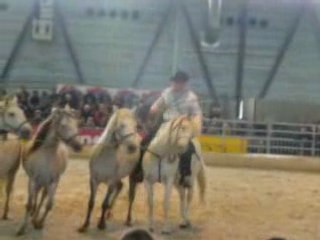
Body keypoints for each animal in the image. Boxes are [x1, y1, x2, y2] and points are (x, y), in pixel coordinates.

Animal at [16, 106, 82, 235]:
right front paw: (22, 228)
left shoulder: (53, 181)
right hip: (39, 182)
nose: (78, 146)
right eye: (63, 125)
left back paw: (35, 217)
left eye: (76, 124)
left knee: (42, 196)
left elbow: (49, 205)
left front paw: (39, 223)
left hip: (46, 183)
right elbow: (29, 204)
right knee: (36, 195)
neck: (47, 155)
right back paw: (33, 214)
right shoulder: (33, 180)